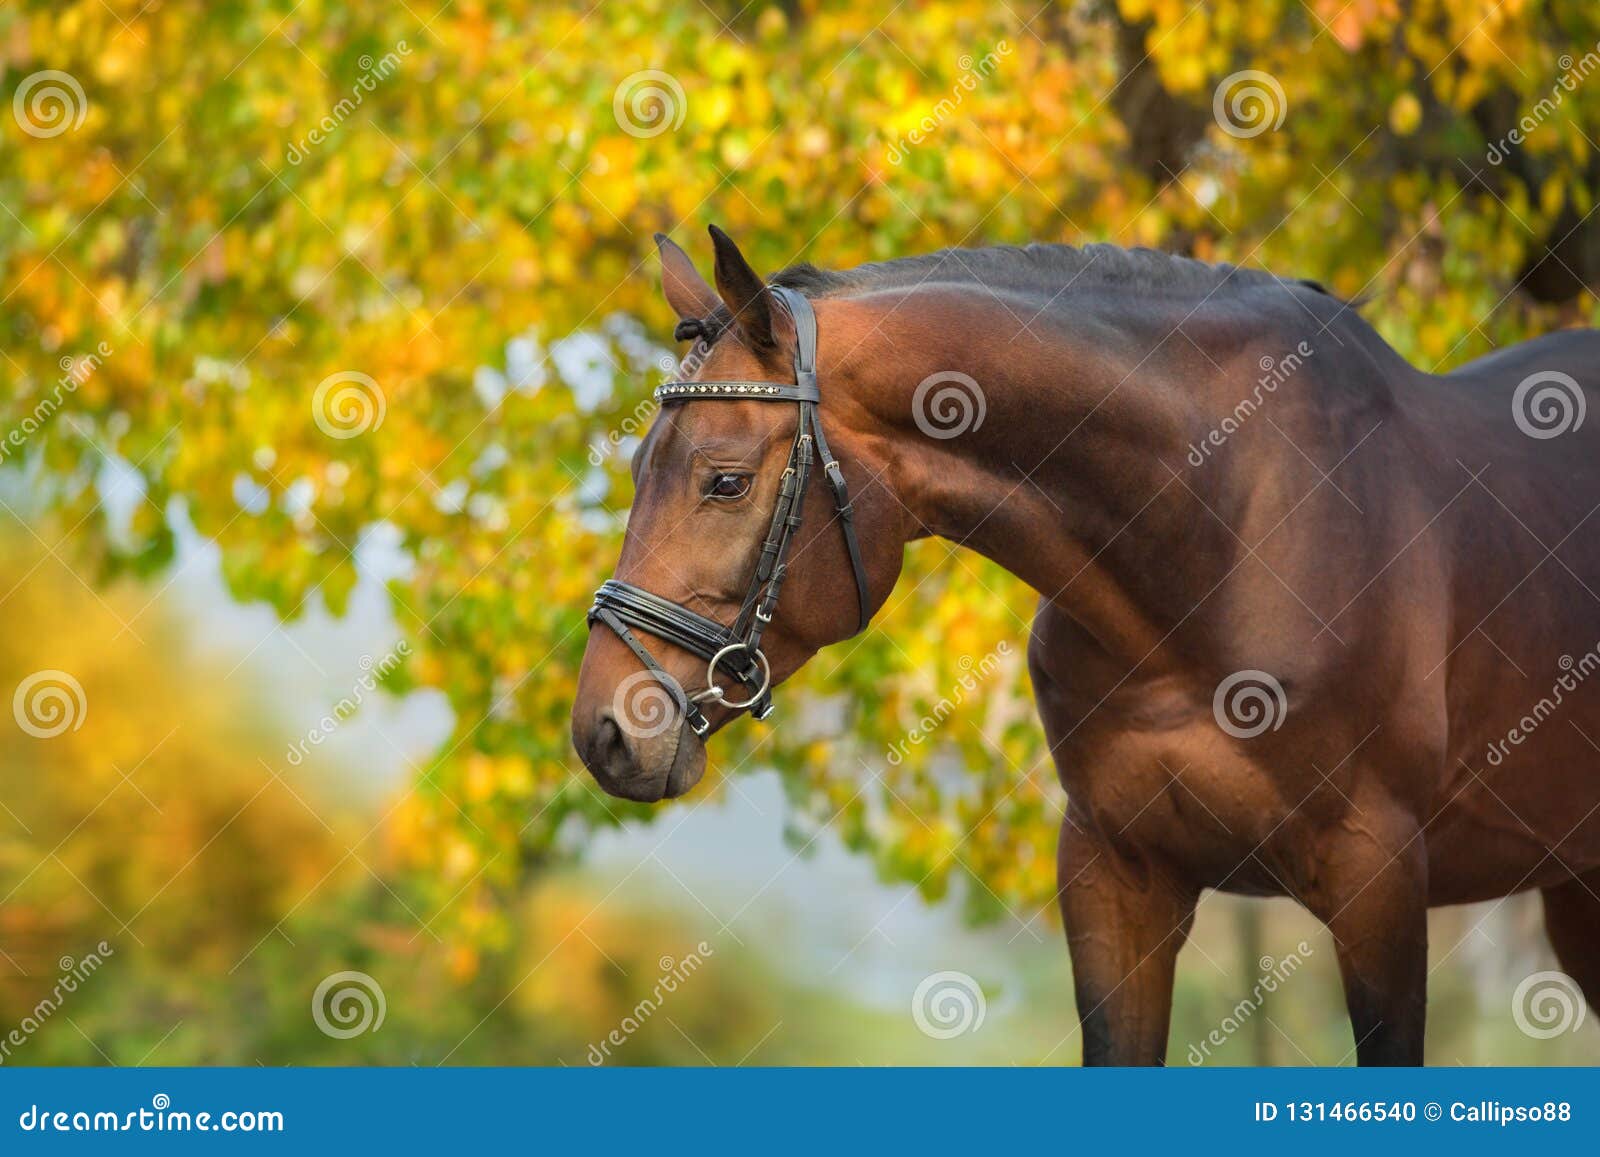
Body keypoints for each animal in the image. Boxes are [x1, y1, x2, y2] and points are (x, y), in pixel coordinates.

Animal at [566, 222, 1600, 1062]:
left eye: (726, 481)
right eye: (637, 465)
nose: (605, 730)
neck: (1220, 529)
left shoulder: (1377, 878)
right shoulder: (1114, 875)